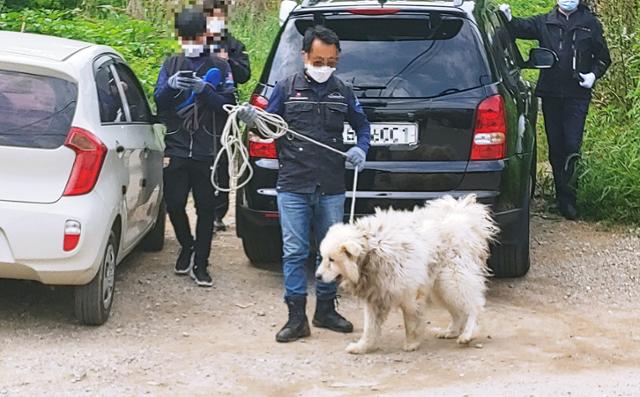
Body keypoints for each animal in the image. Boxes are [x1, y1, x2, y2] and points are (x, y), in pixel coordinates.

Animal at [316, 195, 500, 352]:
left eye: (331, 259)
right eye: (323, 257)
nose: (317, 276)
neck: (370, 249)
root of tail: (464, 217)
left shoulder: (409, 293)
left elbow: (410, 321)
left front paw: (411, 343)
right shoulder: (375, 295)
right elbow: (370, 328)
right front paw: (363, 347)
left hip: (452, 279)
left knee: (474, 305)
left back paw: (468, 333)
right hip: (440, 286)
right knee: (457, 311)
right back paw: (452, 331)